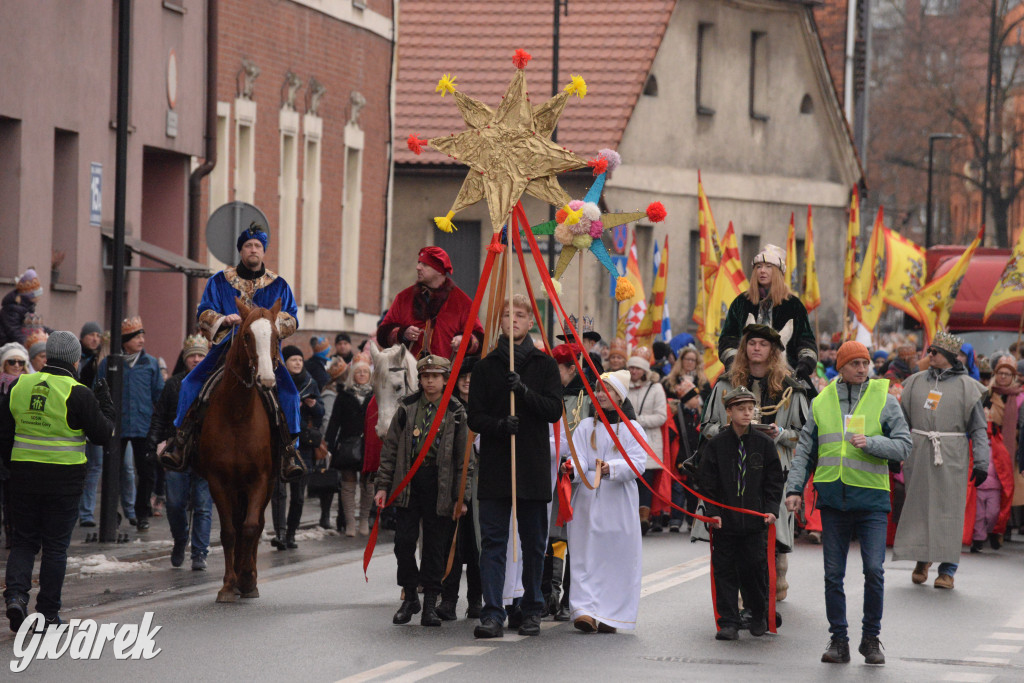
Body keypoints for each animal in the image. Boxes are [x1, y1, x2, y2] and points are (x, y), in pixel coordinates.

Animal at [193, 299, 282, 602]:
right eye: (246, 336)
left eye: (277, 337)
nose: (267, 380)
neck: (237, 415)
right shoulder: (218, 481)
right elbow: (230, 531)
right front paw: (229, 585)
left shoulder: (260, 480)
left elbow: (251, 527)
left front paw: (246, 578)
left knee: (256, 525)